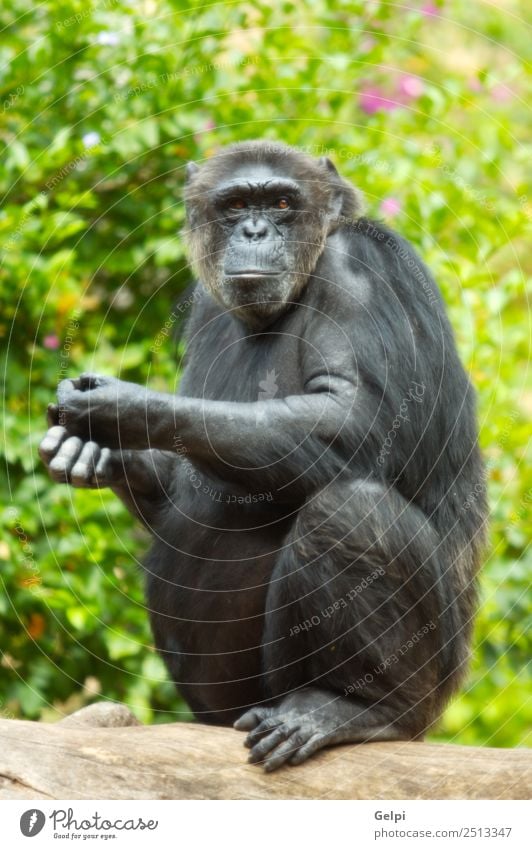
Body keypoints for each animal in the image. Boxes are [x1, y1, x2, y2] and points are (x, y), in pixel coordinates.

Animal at [38, 142, 486, 772]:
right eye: (234, 206)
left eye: (280, 203)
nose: (254, 230)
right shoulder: (204, 304)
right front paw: (97, 453)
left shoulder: (360, 274)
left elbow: (358, 420)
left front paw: (120, 408)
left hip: (433, 690)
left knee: (350, 513)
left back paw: (356, 708)